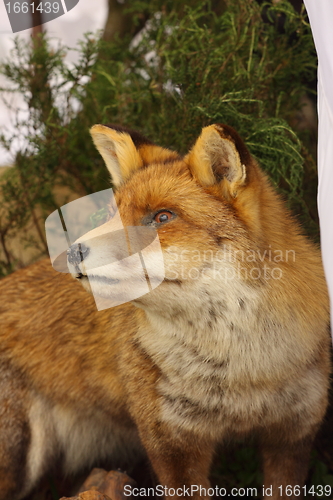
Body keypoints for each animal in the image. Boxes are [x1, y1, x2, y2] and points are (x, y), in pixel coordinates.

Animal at [0, 122, 330, 500]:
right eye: (111, 216)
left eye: (162, 217)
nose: (71, 252)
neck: (245, 375)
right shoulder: (171, 445)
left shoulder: (293, 434)